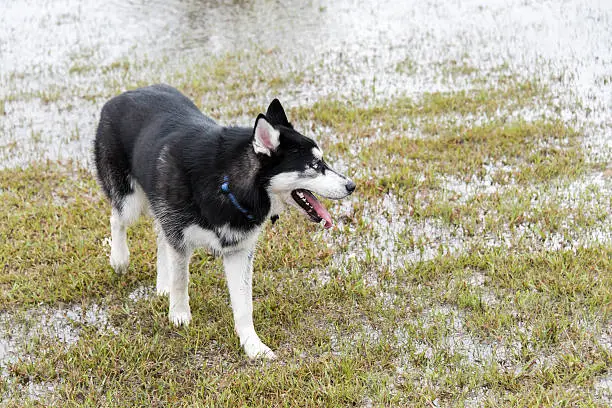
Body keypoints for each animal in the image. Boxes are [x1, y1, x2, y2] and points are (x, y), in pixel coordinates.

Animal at [93, 84, 356, 358]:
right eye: (315, 165)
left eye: (322, 161)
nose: (352, 186)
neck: (227, 182)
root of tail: (127, 93)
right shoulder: (179, 236)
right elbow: (181, 279)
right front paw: (179, 314)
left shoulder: (237, 252)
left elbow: (244, 306)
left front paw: (252, 345)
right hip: (130, 200)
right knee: (117, 219)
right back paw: (120, 259)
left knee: (159, 236)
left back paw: (162, 284)